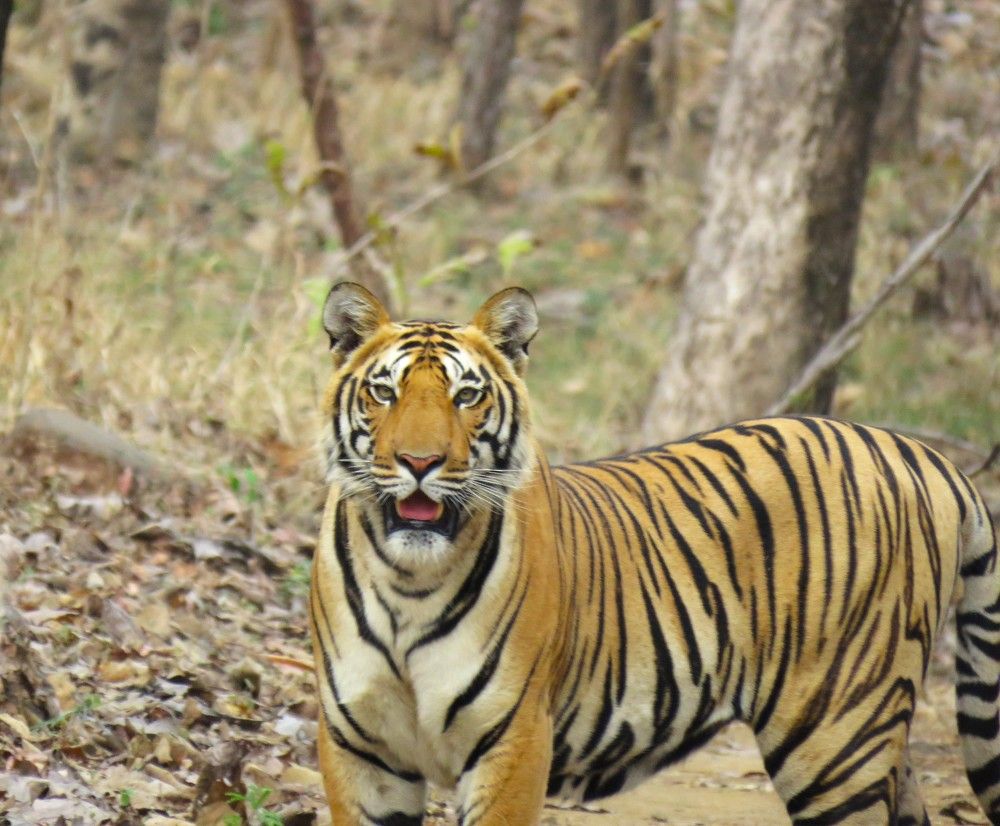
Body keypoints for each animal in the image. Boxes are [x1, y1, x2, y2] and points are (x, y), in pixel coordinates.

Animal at [310, 282, 1000, 825]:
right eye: (384, 393)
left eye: (466, 397)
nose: (419, 462)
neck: (408, 579)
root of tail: (921, 452)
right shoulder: (360, 751)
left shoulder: (512, 743)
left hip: (837, 737)